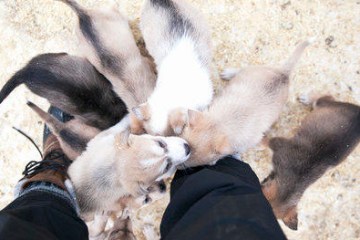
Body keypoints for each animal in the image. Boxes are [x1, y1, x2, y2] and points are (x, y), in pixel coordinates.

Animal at [262, 94, 360, 231]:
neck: (294, 183)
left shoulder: (277, 144)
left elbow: (265, 141)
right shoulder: (278, 144)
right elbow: (266, 140)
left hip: (323, 106)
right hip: (323, 105)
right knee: (327, 96)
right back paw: (306, 99)